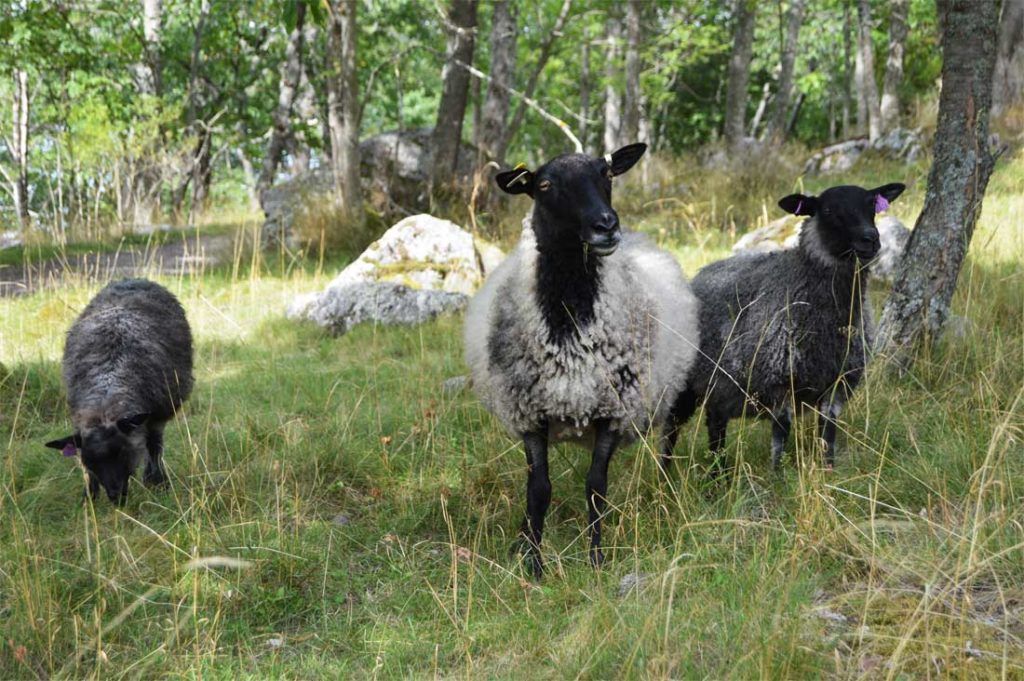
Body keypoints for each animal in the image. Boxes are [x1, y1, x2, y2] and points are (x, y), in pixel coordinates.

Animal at [45, 278, 194, 504]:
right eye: (90, 462)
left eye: (124, 453)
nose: (116, 497)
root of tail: (133, 279)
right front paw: (89, 498)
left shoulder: (156, 416)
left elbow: (154, 446)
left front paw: (158, 483)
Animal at [464, 143, 700, 577]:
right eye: (543, 185)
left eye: (606, 173)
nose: (606, 225)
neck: (569, 321)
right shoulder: (531, 415)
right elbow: (538, 489)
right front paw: (533, 561)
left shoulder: (613, 411)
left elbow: (596, 488)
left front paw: (596, 559)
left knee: (669, 440)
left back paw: (666, 487)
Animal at [661, 182, 906, 474]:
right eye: (827, 210)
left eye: (872, 205)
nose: (870, 239)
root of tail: (700, 273)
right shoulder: (779, 381)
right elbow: (780, 436)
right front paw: (777, 474)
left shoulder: (836, 385)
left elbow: (828, 435)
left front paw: (828, 472)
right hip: (685, 382)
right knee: (671, 427)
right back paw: (665, 473)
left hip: (720, 385)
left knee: (715, 423)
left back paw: (720, 473)